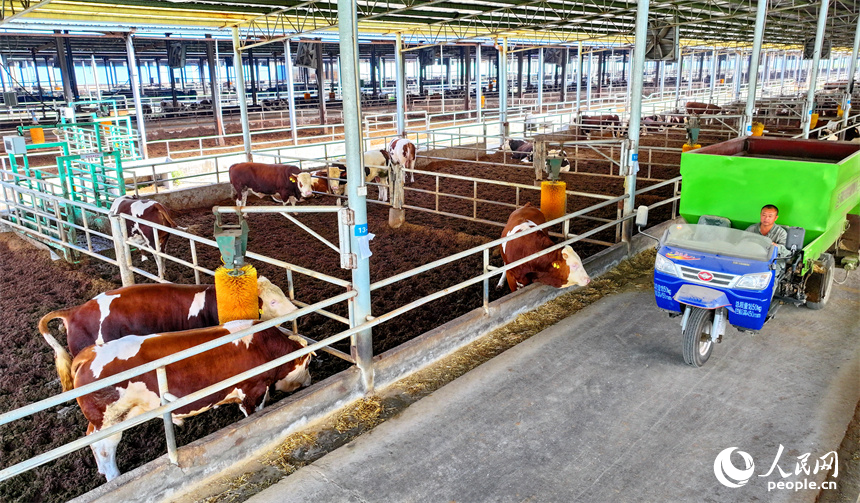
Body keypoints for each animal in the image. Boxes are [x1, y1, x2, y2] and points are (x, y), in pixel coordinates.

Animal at [72, 320, 310, 482]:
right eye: (307, 364)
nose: (309, 380)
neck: (266, 347)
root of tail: (89, 354)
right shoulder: (252, 390)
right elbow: (254, 415)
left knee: (91, 439)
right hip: (110, 418)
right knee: (105, 447)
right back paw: (113, 475)